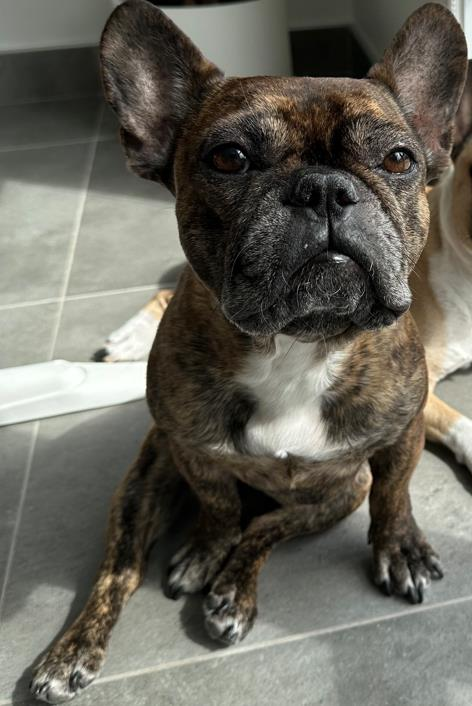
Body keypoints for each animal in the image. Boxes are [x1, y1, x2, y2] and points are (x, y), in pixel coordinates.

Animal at [30, 2, 467, 702]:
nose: (323, 188)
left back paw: (232, 589)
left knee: (270, 527)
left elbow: (393, 496)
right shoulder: (192, 449)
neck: (298, 344)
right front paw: (208, 544)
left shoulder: (398, 438)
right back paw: (77, 645)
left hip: (336, 491)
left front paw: (398, 550)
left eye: (400, 159)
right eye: (229, 158)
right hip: (145, 475)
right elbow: (218, 504)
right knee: (119, 568)